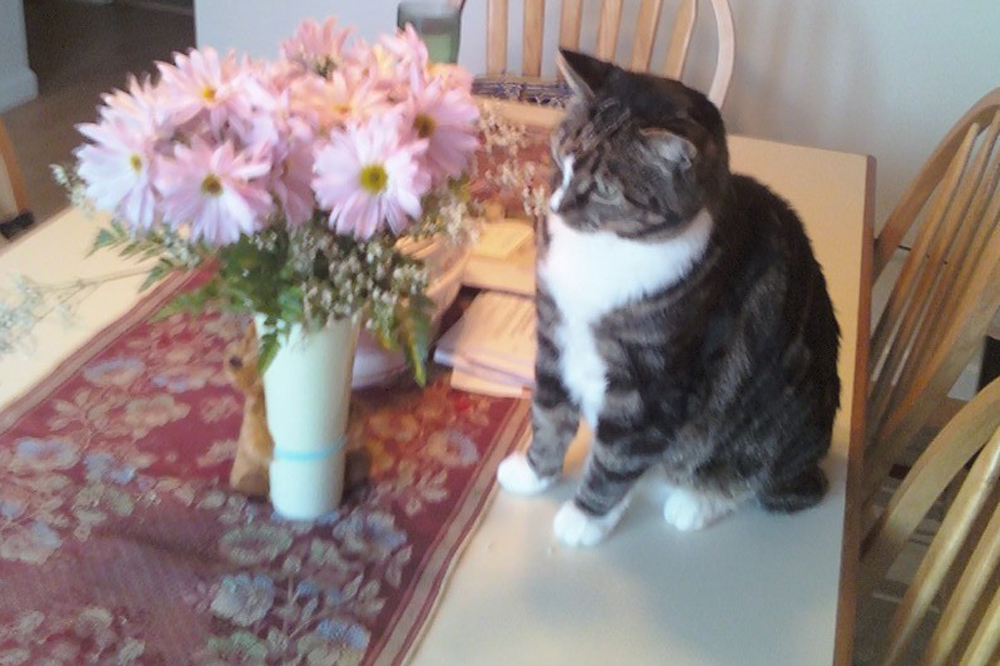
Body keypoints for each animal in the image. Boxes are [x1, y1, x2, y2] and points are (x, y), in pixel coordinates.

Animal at [496, 52, 840, 544]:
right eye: (562, 157)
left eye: (606, 188)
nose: (558, 207)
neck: (604, 252)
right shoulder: (553, 338)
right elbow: (548, 414)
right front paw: (534, 472)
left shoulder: (651, 385)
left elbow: (616, 456)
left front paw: (585, 517)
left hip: (774, 427)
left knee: (765, 479)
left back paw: (695, 501)